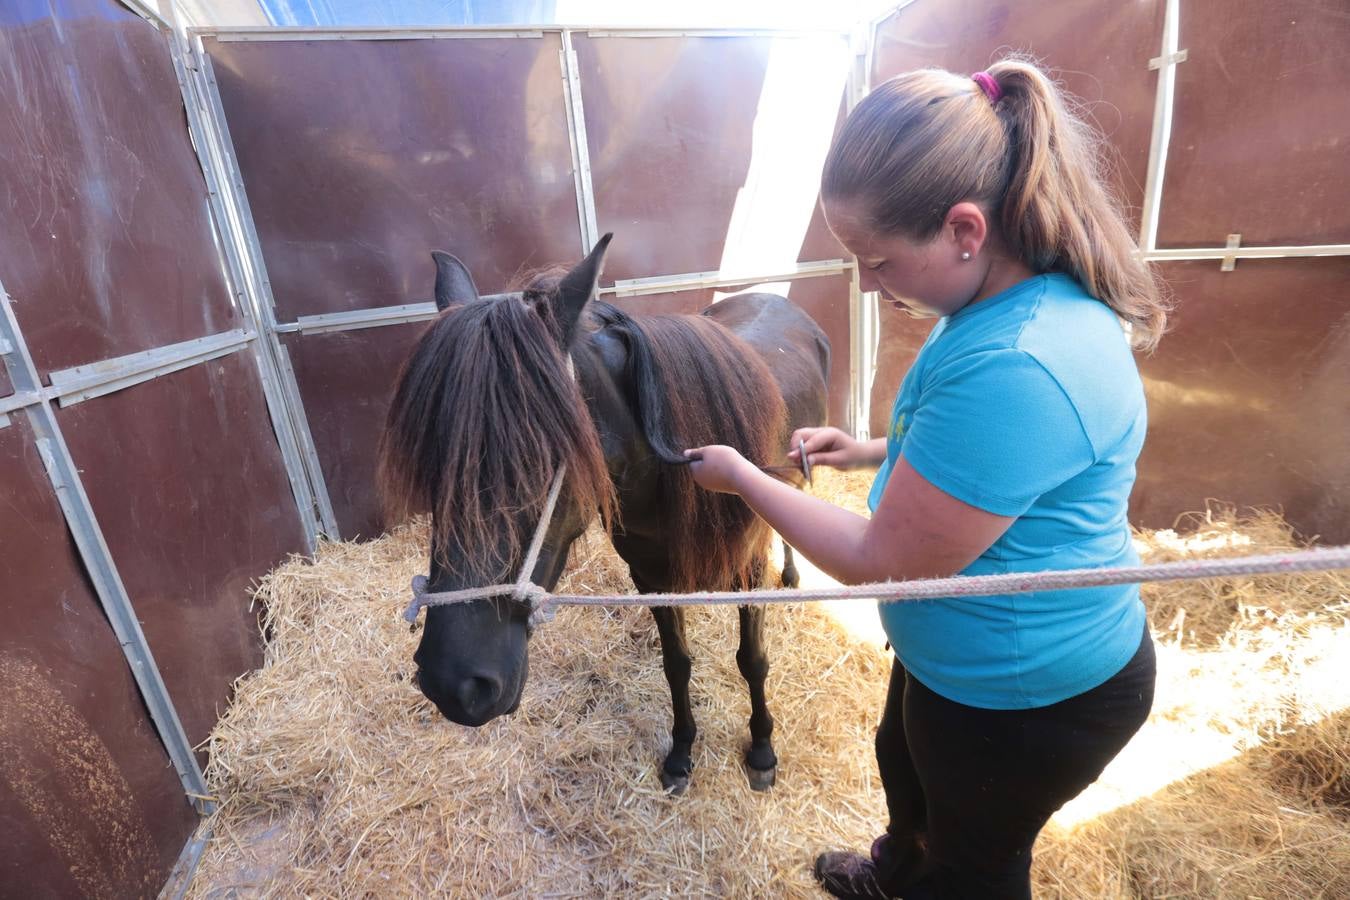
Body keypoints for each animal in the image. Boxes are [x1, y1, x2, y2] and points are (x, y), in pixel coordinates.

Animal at [375, 236, 826, 793]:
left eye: (541, 456)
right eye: (432, 461)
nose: (453, 685)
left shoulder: (747, 571)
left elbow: (752, 661)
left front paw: (762, 749)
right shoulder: (649, 577)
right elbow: (676, 663)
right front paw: (681, 752)